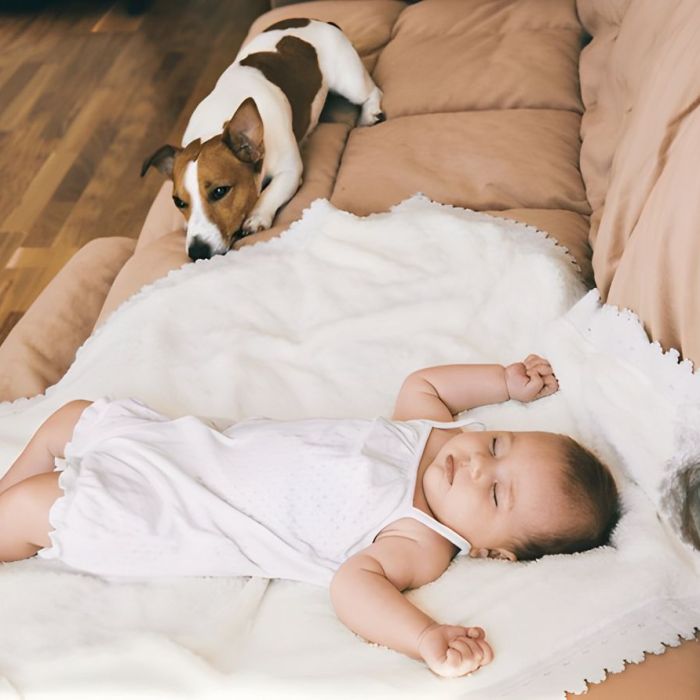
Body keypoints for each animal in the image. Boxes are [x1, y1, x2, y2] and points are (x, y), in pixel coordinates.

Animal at [140, 19, 386, 260]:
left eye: (220, 191)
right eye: (179, 202)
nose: (197, 252)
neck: (217, 122)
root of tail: (322, 21)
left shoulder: (290, 171)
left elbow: (270, 193)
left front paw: (257, 216)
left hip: (350, 81)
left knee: (373, 92)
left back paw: (369, 114)